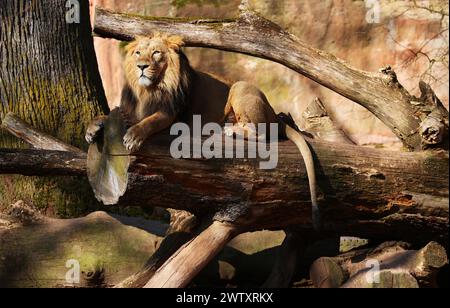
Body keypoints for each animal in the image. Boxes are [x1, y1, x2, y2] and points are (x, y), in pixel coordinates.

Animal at [84, 33, 322, 230]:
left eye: (156, 53)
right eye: (137, 53)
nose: (141, 66)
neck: (150, 90)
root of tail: (273, 111)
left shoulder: (171, 116)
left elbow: (149, 121)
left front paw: (133, 136)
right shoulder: (130, 110)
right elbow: (110, 114)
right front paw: (92, 128)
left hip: (240, 87)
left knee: (262, 133)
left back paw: (229, 130)